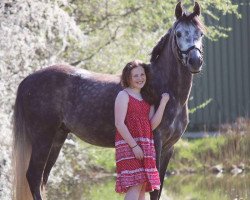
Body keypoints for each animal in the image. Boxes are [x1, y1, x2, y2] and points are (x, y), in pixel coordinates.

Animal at [13, 1, 205, 200]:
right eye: (178, 33)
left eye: (200, 34)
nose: (195, 61)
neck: (164, 87)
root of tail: (27, 81)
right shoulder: (157, 144)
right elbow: (155, 189)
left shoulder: (169, 148)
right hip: (42, 137)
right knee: (34, 176)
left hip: (57, 137)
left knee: (43, 178)